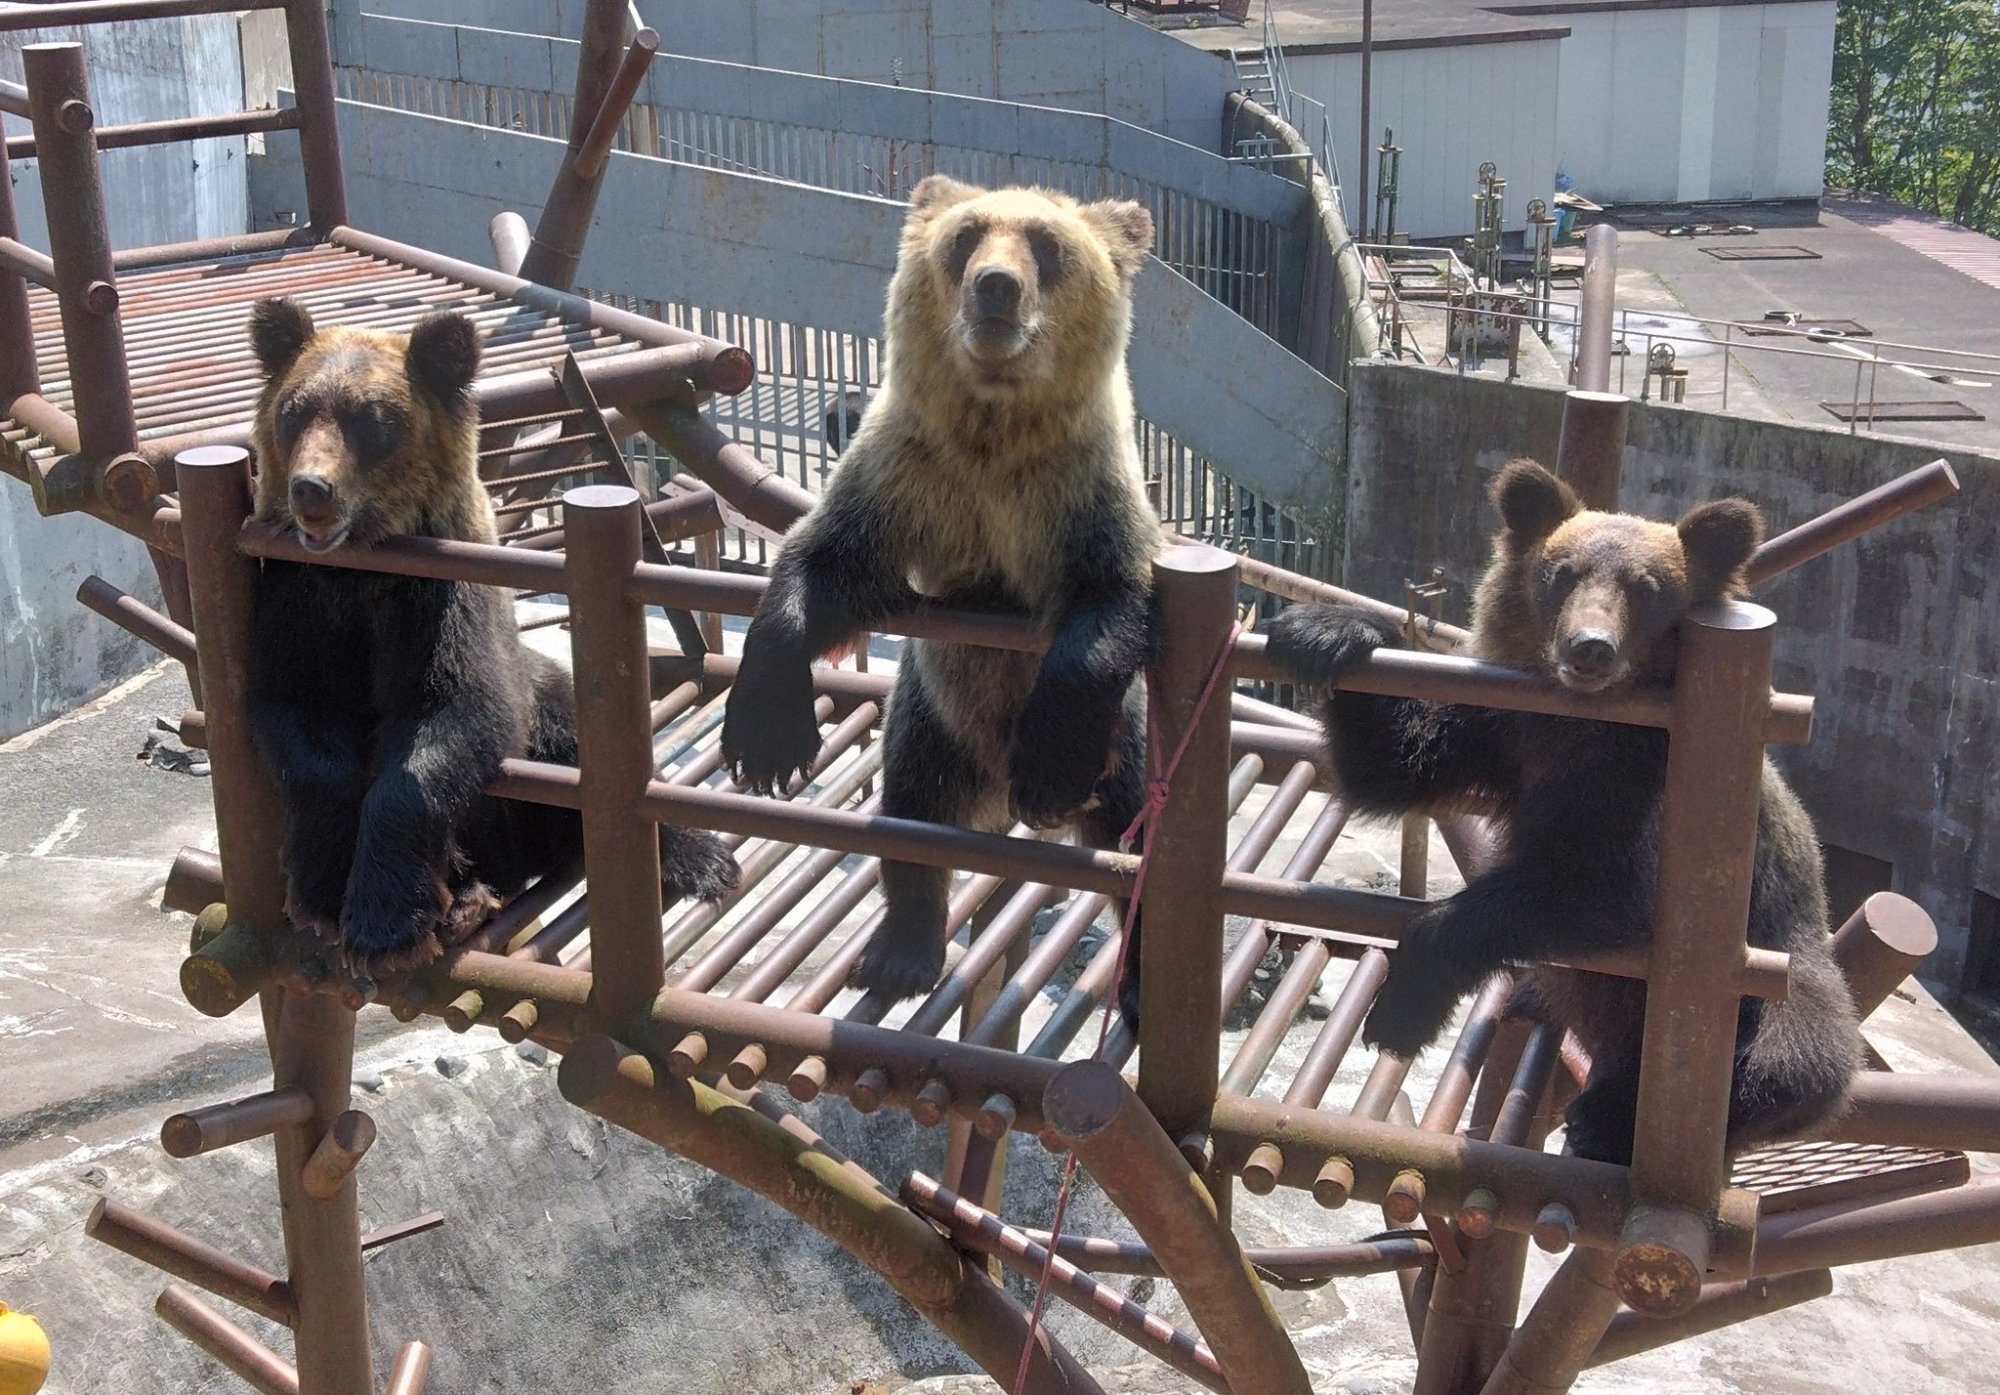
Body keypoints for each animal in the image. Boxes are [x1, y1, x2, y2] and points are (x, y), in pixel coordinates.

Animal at [242, 295, 740, 967]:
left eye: (372, 419)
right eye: (295, 412)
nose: (312, 490)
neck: (365, 571)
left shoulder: (442, 603)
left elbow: (455, 714)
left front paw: (384, 921)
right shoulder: (301, 603)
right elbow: (299, 719)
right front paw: (320, 888)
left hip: (541, 751)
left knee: (582, 747)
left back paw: (698, 859)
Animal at [720, 178, 1160, 1015]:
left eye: (1048, 245)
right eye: (965, 237)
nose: (996, 286)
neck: (992, 440)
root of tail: (989, 799)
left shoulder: (1079, 494)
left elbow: (1108, 603)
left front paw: (1049, 769)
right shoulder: (906, 474)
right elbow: (822, 563)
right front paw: (767, 743)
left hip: (1126, 749)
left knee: (1141, 849)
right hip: (930, 716)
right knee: (910, 817)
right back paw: (900, 952)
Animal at [1264, 459, 1856, 1159]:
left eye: (1649, 588)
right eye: (1561, 572)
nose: (1589, 648)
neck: (1579, 727)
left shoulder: (1643, 792)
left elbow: (1593, 887)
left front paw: (1402, 1008)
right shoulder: (1505, 731)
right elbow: (1398, 763)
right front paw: (1324, 631)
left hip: (1783, 969)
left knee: (1788, 1062)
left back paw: (1606, 1116)